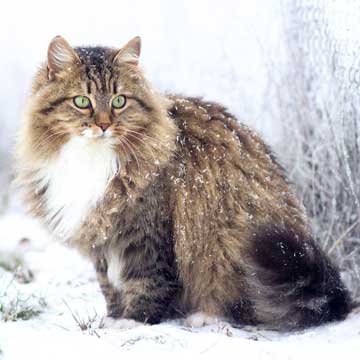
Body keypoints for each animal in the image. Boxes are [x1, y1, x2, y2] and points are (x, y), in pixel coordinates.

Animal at [15, 35, 350, 330]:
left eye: (119, 101)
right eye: (82, 101)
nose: (104, 124)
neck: (91, 158)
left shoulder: (147, 232)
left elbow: (147, 282)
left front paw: (132, 322)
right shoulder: (101, 236)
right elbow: (109, 285)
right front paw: (113, 317)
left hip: (234, 242)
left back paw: (204, 317)